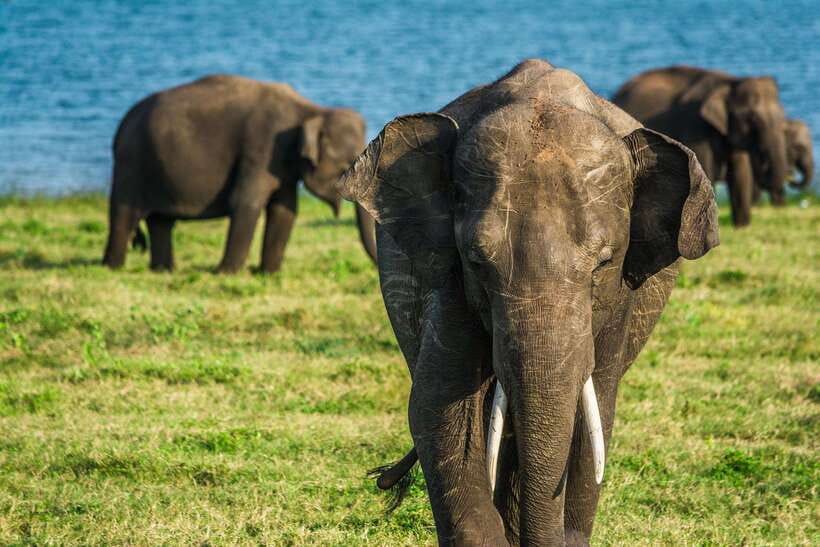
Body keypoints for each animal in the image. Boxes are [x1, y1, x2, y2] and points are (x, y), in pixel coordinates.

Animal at [102, 75, 376, 273]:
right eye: (348, 168)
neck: (311, 110)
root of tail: (120, 127)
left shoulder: (282, 162)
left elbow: (285, 210)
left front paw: (268, 273)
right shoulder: (260, 148)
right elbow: (246, 201)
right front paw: (226, 272)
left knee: (160, 221)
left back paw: (163, 270)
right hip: (131, 164)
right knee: (123, 213)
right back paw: (112, 267)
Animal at [339, 59, 719, 545]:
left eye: (604, 263)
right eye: (477, 262)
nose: (380, 479)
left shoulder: (619, 301)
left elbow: (593, 417)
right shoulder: (449, 282)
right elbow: (440, 410)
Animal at [612, 65, 789, 227]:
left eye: (783, 114)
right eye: (751, 117)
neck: (730, 82)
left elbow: (741, 173)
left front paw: (741, 227)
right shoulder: (695, 128)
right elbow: (705, 172)